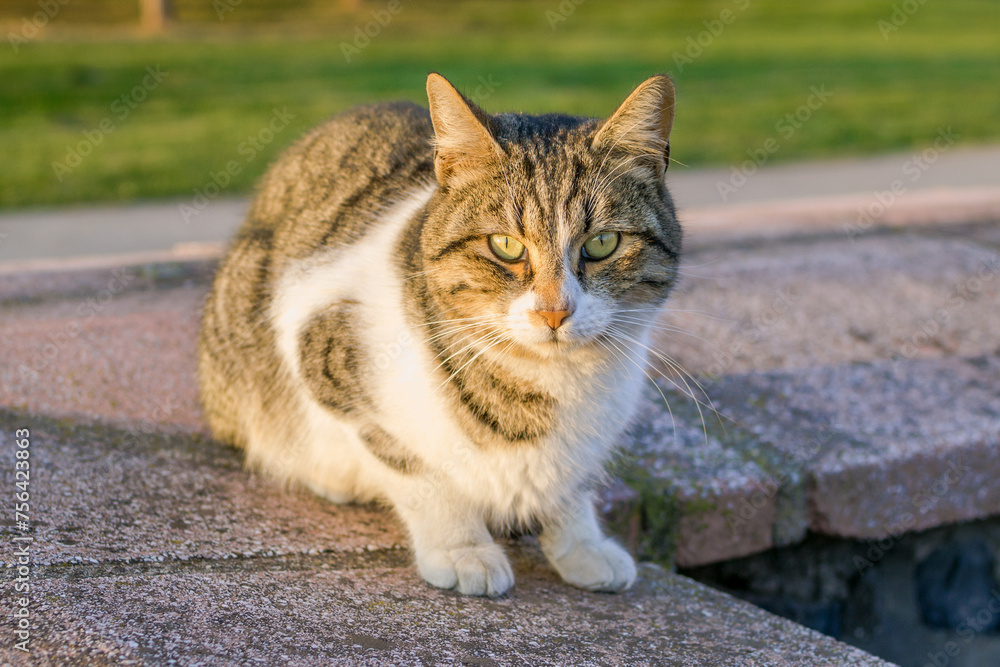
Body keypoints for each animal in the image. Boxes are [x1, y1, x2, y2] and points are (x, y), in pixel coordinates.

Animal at [197, 74, 680, 600]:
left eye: (602, 243)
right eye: (505, 245)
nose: (554, 312)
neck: (545, 385)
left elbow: (570, 489)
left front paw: (582, 545)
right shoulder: (323, 342)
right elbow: (418, 472)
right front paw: (461, 549)